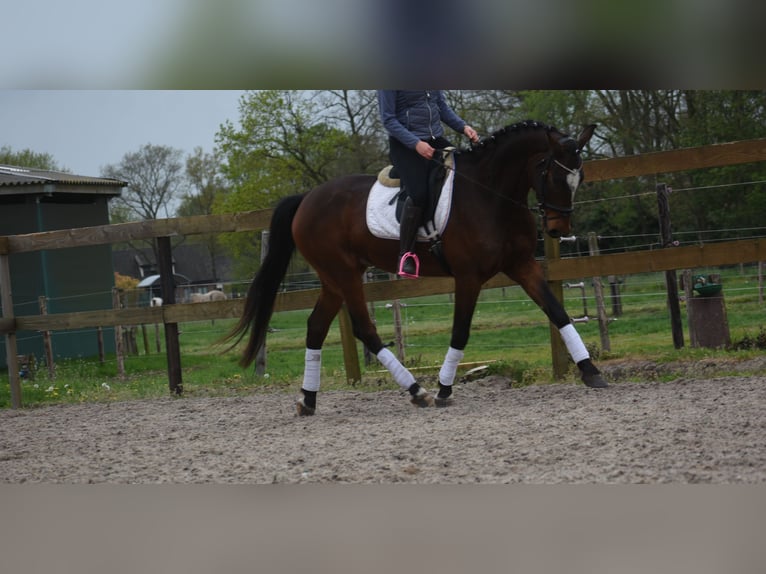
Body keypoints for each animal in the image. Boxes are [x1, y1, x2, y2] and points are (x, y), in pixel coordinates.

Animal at [225, 120, 607, 416]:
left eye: (580, 176)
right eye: (552, 174)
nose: (558, 229)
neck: (491, 195)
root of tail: (306, 198)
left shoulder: (522, 265)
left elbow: (558, 313)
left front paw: (591, 372)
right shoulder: (469, 277)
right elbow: (460, 332)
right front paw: (443, 390)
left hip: (333, 279)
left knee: (316, 327)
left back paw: (308, 400)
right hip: (344, 274)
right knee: (364, 329)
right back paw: (416, 390)